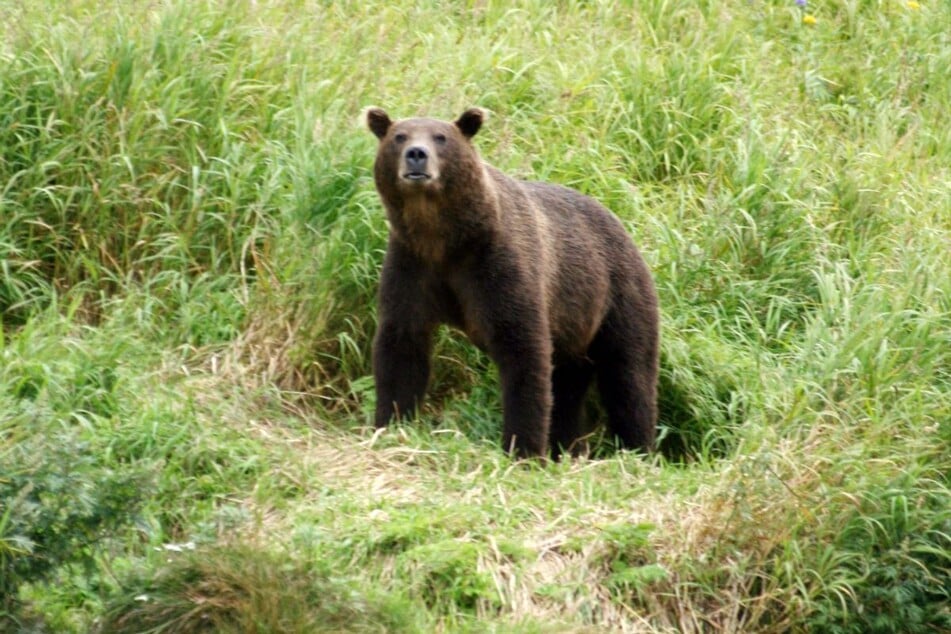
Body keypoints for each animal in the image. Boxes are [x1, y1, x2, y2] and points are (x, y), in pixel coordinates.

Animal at [366, 107, 659, 459]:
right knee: (569, 385)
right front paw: (390, 424)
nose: (416, 155)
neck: (444, 238)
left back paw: (637, 447)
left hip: (617, 295)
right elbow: (402, 343)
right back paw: (568, 446)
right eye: (399, 136)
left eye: (441, 137)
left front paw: (523, 447)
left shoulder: (498, 264)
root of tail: (624, 228)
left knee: (628, 376)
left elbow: (523, 349)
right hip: (575, 327)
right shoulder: (412, 265)